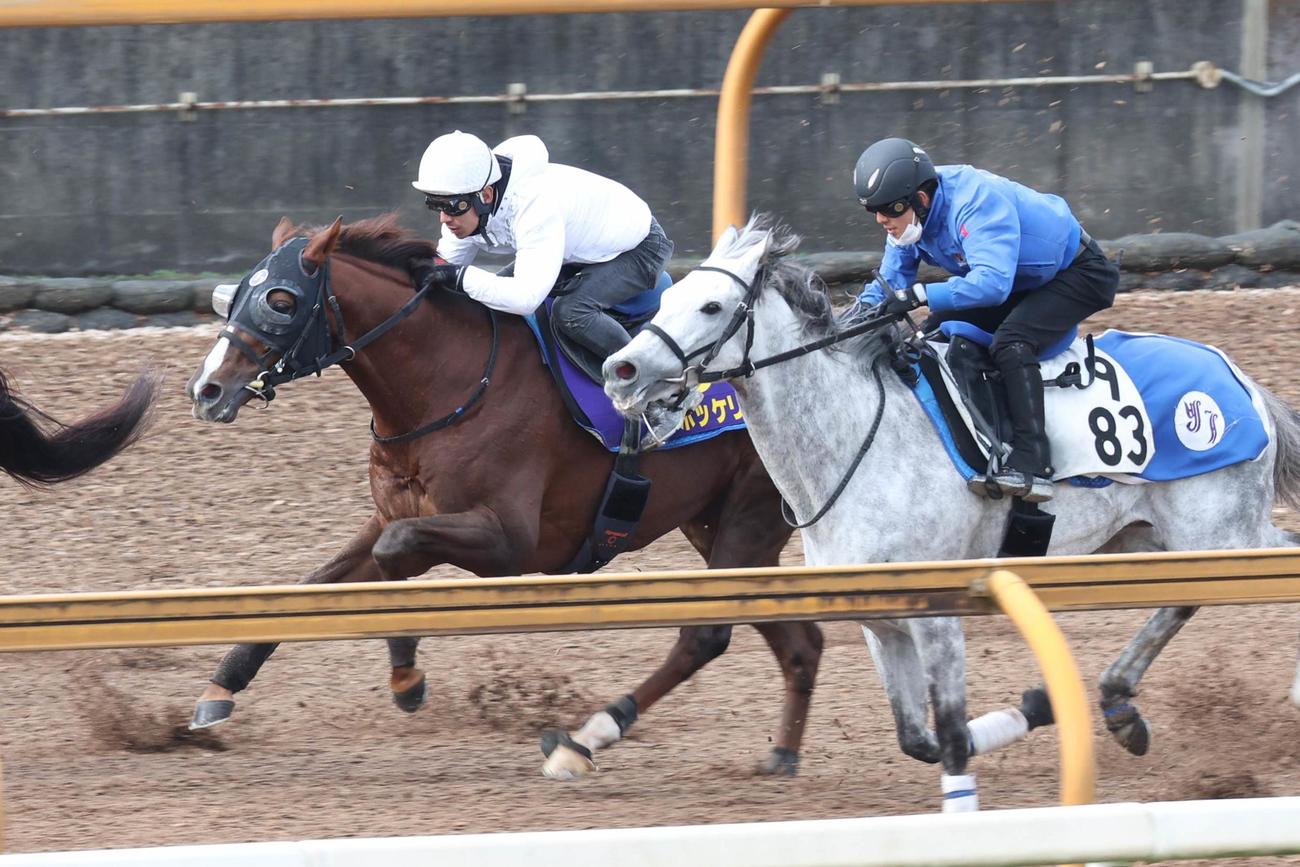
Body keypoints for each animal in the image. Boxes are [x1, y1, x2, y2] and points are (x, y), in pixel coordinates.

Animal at [183, 213, 824, 778]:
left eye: (282, 300)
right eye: (234, 297)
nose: (207, 389)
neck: (450, 383)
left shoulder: (509, 544)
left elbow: (394, 556)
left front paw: (407, 679)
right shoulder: (390, 515)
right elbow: (313, 584)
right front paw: (220, 688)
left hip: (747, 516)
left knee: (708, 634)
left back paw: (581, 743)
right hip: (718, 528)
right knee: (803, 641)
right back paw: (782, 754)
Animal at [603, 215, 1300, 811]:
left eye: (712, 307)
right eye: (667, 297)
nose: (620, 369)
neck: (857, 441)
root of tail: (1244, 383)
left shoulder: (937, 611)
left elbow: (951, 733)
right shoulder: (879, 621)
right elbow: (922, 737)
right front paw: (1040, 702)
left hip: (1217, 532)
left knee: (1263, 564)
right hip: (1145, 539)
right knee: (1187, 595)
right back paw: (1119, 703)